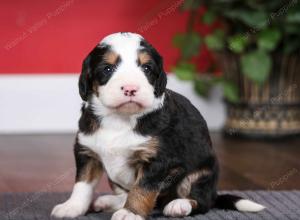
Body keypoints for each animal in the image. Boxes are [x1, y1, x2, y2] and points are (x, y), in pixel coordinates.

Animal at [51, 31, 264, 219]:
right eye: (108, 69)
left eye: (146, 68)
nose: (130, 88)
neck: (120, 119)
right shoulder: (87, 152)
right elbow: (82, 184)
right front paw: (71, 207)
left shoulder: (158, 160)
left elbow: (142, 188)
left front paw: (131, 213)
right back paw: (109, 201)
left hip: (202, 173)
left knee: (202, 201)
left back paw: (179, 205)